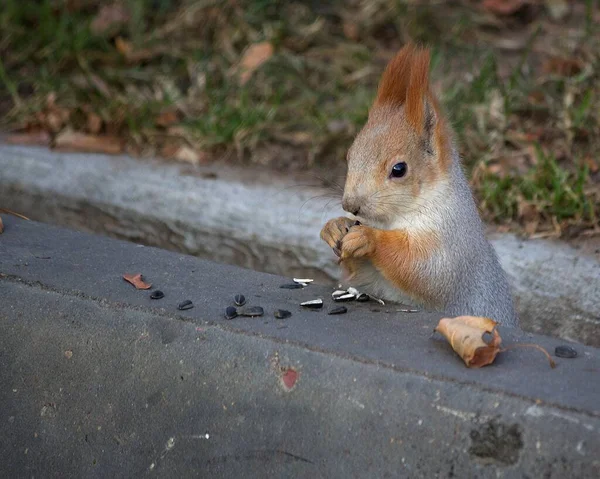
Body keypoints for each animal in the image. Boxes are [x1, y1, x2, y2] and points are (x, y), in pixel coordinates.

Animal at [322, 43, 516, 328]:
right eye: (349, 155)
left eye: (399, 169)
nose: (350, 205)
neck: (392, 220)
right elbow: (358, 276)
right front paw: (334, 227)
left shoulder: (452, 239)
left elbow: (425, 270)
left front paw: (369, 238)